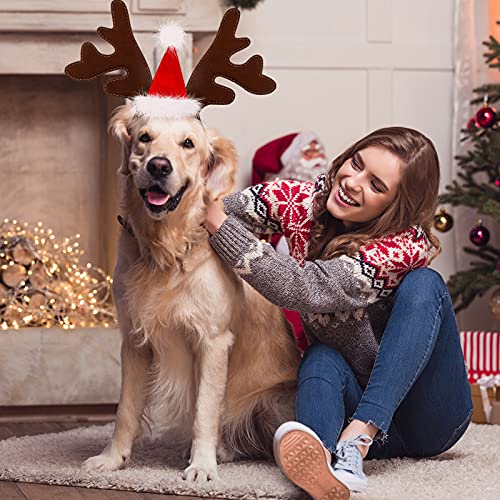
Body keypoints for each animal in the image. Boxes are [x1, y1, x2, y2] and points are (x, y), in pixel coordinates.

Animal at [81, 104, 300, 480]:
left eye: (188, 143)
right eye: (144, 137)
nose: (159, 165)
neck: (166, 250)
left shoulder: (213, 341)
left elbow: (204, 412)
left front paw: (201, 465)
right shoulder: (134, 341)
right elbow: (126, 410)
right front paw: (112, 458)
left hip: (276, 400)